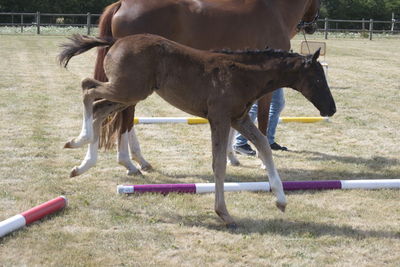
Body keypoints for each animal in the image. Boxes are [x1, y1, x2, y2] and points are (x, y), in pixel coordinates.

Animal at [59, 34, 334, 228]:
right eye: (318, 79)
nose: (331, 108)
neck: (243, 75)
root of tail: (116, 40)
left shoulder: (239, 119)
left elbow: (264, 147)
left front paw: (281, 200)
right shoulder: (220, 119)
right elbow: (219, 164)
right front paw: (224, 214)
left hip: (130, 93)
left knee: (98, 109)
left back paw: (81, 162)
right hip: (127, 89)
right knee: (88, 89)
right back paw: (82, 140)